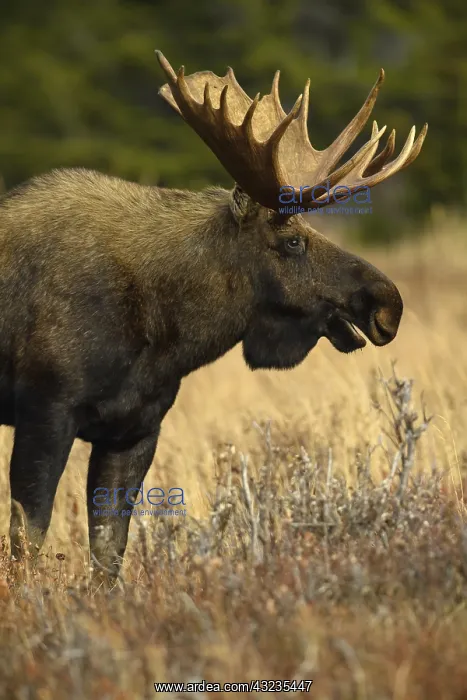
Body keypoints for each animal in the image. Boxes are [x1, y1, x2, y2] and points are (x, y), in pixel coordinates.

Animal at [0, 51, 426, 582]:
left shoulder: (136, 428)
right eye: (292, 240)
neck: (167, 332)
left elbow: (109, 551)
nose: (388, 303)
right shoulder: (45, 411)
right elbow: (27, 544)